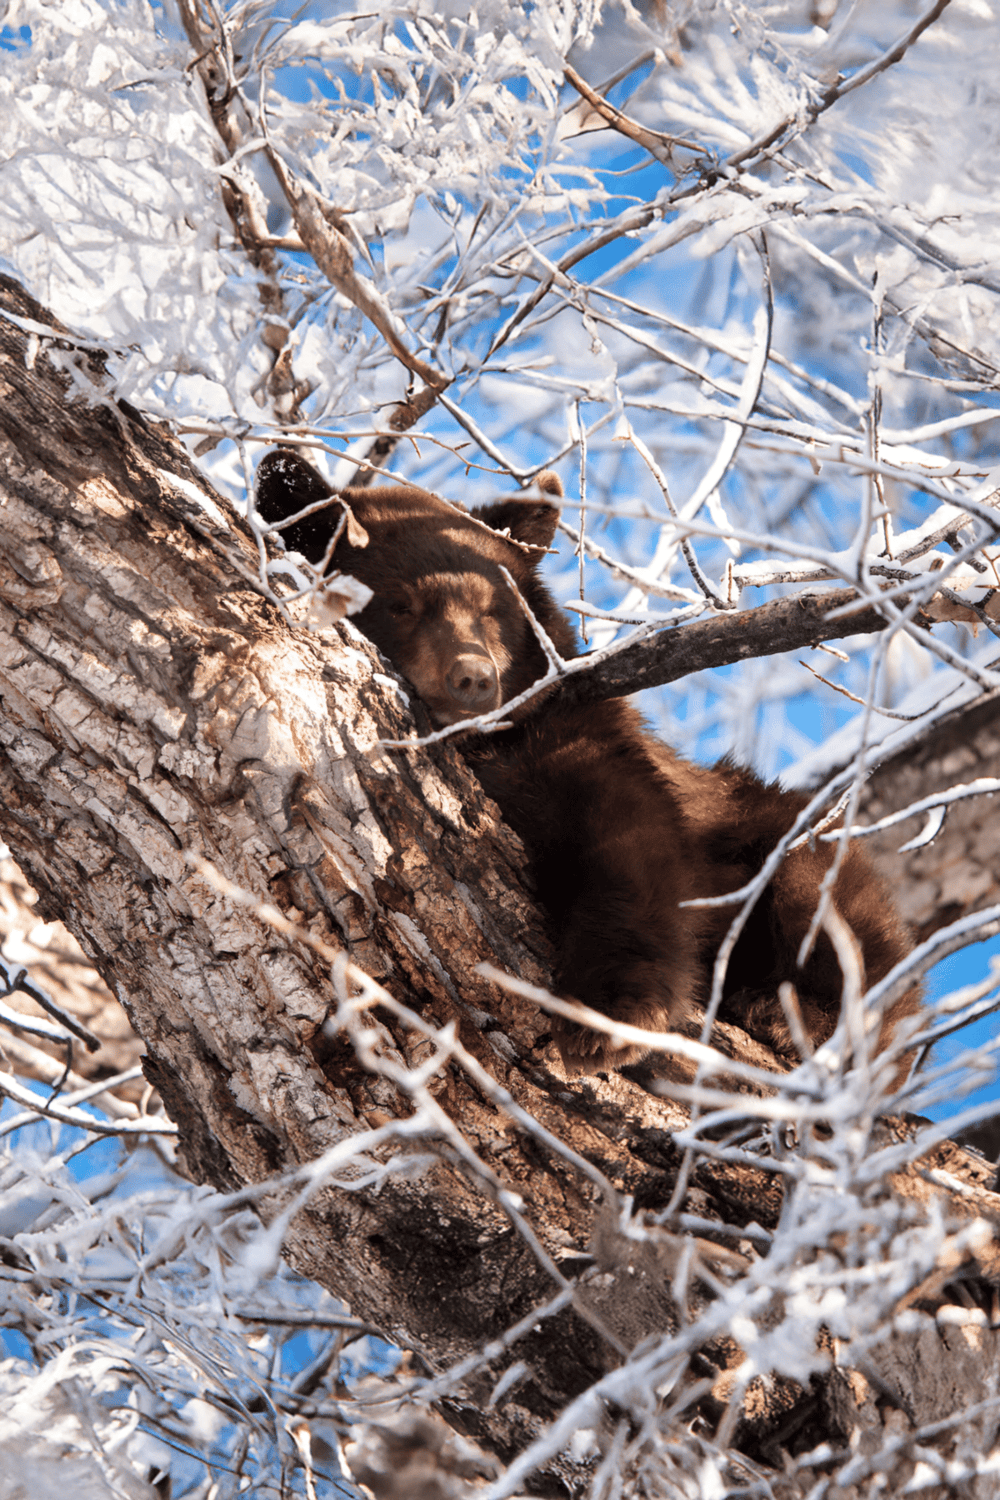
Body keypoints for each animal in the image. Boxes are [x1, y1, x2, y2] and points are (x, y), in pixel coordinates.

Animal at [255, 448, 919, 1076]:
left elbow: (628, 847)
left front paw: (605, 1020)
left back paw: (787, 1012)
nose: (475, 678)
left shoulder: (581, 740)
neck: (483, 745)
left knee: (835, 921)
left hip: (788, 839)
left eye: (496, 608)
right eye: (399, 604)